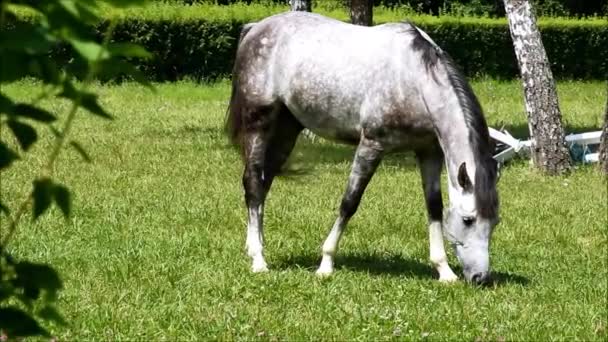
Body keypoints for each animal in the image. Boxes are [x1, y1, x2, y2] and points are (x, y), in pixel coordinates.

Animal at [226, 10, 502, 284]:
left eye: (495, 222)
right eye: (468, 220)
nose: (480, 277)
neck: (413, 79)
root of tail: (255, 28)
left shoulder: (428, 152)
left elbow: (434, 206)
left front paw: (444, 270)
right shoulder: (371, 145)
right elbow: (350, 201)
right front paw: (326, 264)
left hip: (287, 129)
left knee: (264, 183)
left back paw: (255, 245)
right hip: (259, 124)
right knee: (253, 182)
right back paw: (258, 259)